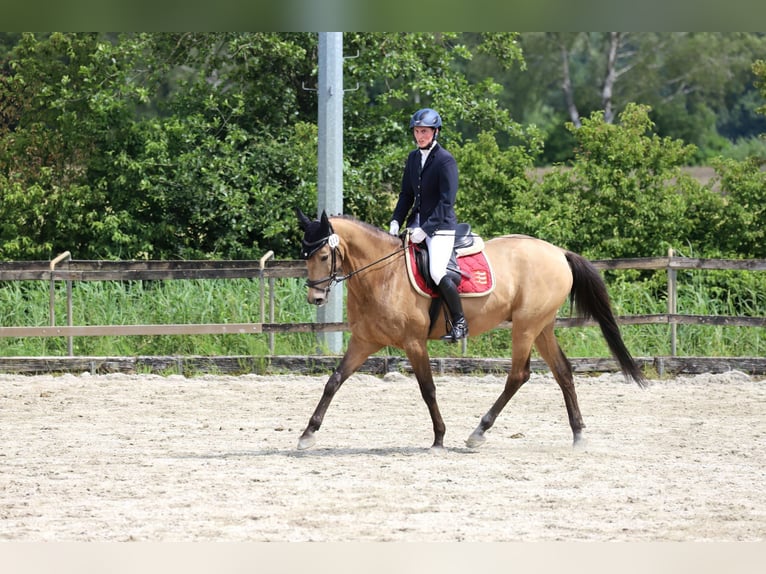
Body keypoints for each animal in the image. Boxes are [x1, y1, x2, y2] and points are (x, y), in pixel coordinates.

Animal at [294, 209, 648, 452]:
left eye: (323, 255)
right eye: (305, 255)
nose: (316, 298)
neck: (383, 274)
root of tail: (558, 252)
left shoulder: (413, 342)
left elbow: (427, 389)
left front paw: (439, 437)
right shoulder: (365, 340)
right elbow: (334, 381)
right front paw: (307, 433)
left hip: (525, 327)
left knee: (519, 375)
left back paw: (478, 432)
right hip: (542, 326)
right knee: (563, 371)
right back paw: (578, 434)